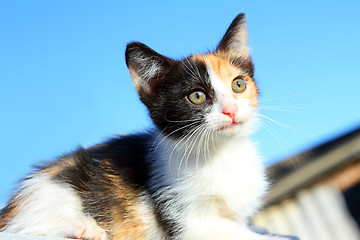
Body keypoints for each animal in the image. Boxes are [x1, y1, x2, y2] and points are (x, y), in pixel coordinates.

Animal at [0, 13, 288, 240]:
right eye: (196, 96)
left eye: (238, 84)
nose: (231, 110)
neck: (221, 152)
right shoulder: (186, 220)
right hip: (52, 193)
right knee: (19, 229)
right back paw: (84, 228)